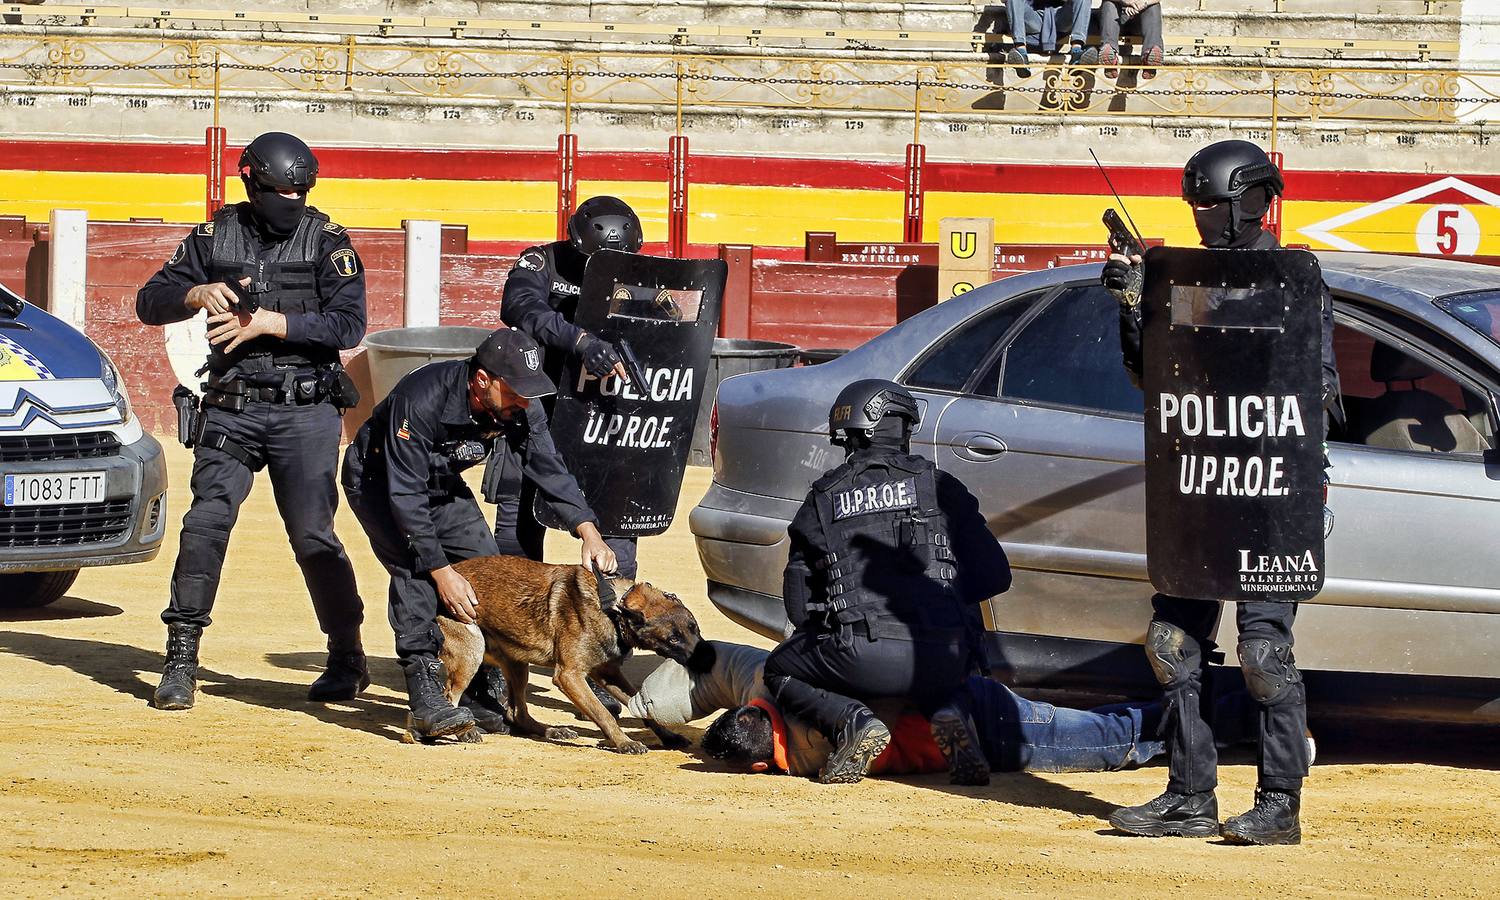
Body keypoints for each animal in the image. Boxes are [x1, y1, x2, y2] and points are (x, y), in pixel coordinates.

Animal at [438, 555, 699, 753]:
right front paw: (624, 742)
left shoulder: (609, 674)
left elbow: (642, 707)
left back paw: (552, 731)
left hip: (517, 664)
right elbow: (603, 713)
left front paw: (668, 736)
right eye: (672, 639)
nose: (703, 658)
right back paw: (463, 731)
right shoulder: (569, 676)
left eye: (695, 628)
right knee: (451, 696)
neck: (611, 608)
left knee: (517, 713)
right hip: (471, 653)